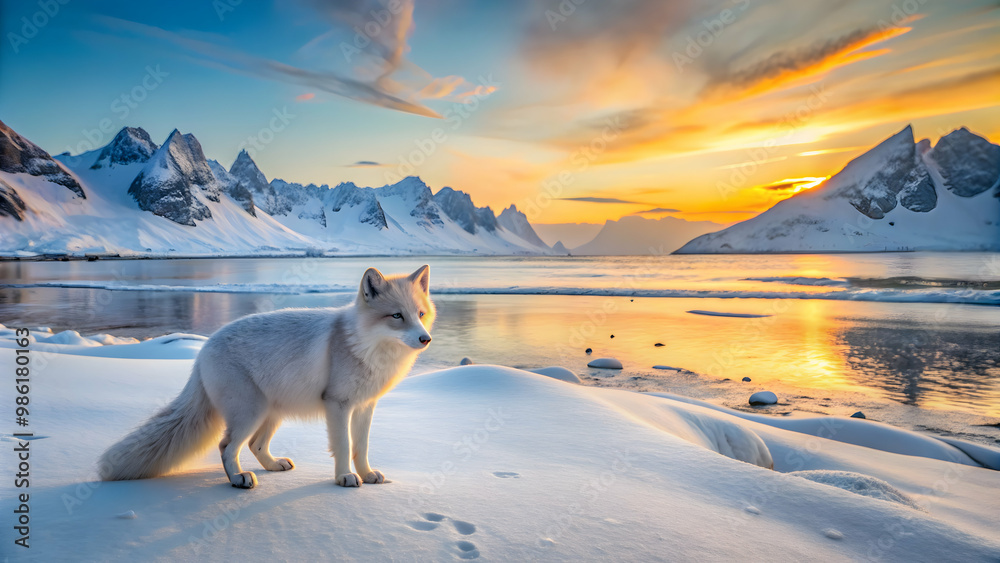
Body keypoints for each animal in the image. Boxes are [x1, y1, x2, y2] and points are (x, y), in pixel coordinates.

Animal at [98, 265, 435, 489]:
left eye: (420, 314)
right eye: (396, 316)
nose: (426, 339)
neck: (362, 344)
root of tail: (203, 350)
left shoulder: (365, 406)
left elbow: (360, 447)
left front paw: (366, 474)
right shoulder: (337, 404)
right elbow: (342, 445)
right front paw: (344, 477)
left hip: (271, 413)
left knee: (254, 445)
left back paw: (273, 466)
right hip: (251, 412)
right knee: (227, 446)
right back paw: (237, 479)